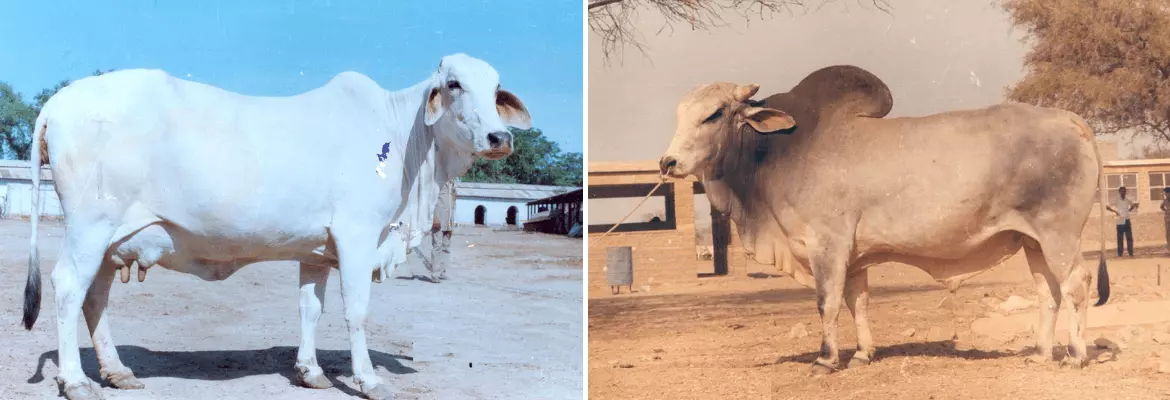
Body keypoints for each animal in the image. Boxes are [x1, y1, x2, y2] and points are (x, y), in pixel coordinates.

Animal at [21, 53, 531, 400]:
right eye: (454, 84)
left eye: (496, 88)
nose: (499, 138)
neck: (403, 140)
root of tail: (59, 101)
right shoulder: (357, 235)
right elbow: (357, 312)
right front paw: (368, 379)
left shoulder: (318, 250)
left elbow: (310, 310)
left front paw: (311, 372)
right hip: (91, 225)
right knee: (68, 287)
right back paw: (75, 381)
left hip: (112, 240)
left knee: (95, 298)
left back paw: (117, 371)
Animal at [658, 65, 1110, 375]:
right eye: (679, 115)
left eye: (715, 114)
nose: (668, 162)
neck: (779, 152)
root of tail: (1072, 121)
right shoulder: (855, 256)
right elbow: (857, 301)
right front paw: (862, 353)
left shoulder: (827, 245)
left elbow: (827, 302)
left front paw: (826, 359)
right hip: (1033, 242)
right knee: (1048, 291)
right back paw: (1041, 353)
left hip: (1058, 234)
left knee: (1076, 284)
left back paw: (1076, 355)